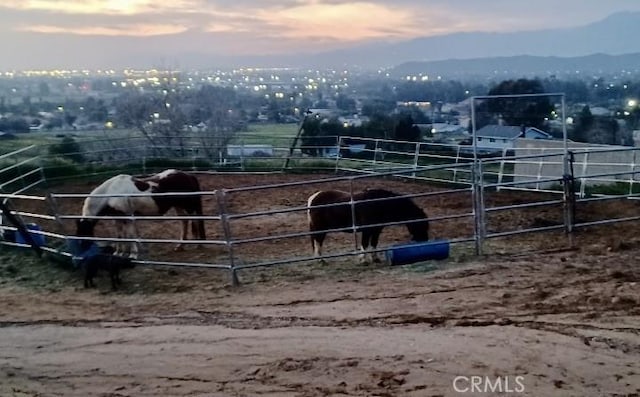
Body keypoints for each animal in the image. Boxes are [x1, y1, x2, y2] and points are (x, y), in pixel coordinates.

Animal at [75, 169, 206, 258]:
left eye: (84, 232)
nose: (82, 251)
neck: (111, 192)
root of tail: (188, 175)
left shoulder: (128, 216)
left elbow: (130, 235)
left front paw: (133, 254)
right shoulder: (117, 218)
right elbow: (120, 235)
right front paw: (119, 253)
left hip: (189, 207)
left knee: (195, 221)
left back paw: (198, 245)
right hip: (178, 206)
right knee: (185, 222)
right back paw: (180, 246)